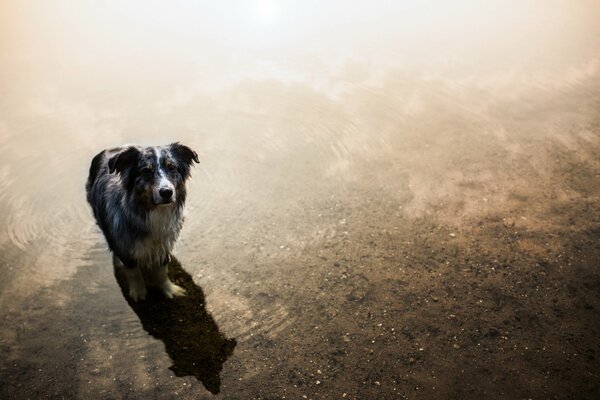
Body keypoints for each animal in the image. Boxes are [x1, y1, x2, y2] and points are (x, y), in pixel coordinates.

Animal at [86, 142, 199, 302]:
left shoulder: (163, 245)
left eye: (172, 167)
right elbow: (134, 273)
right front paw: (138, 292)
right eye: (146, 171)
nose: (166, 192)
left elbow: (162, 271)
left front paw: (169, 289)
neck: (151, 211)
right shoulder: (125, 248)